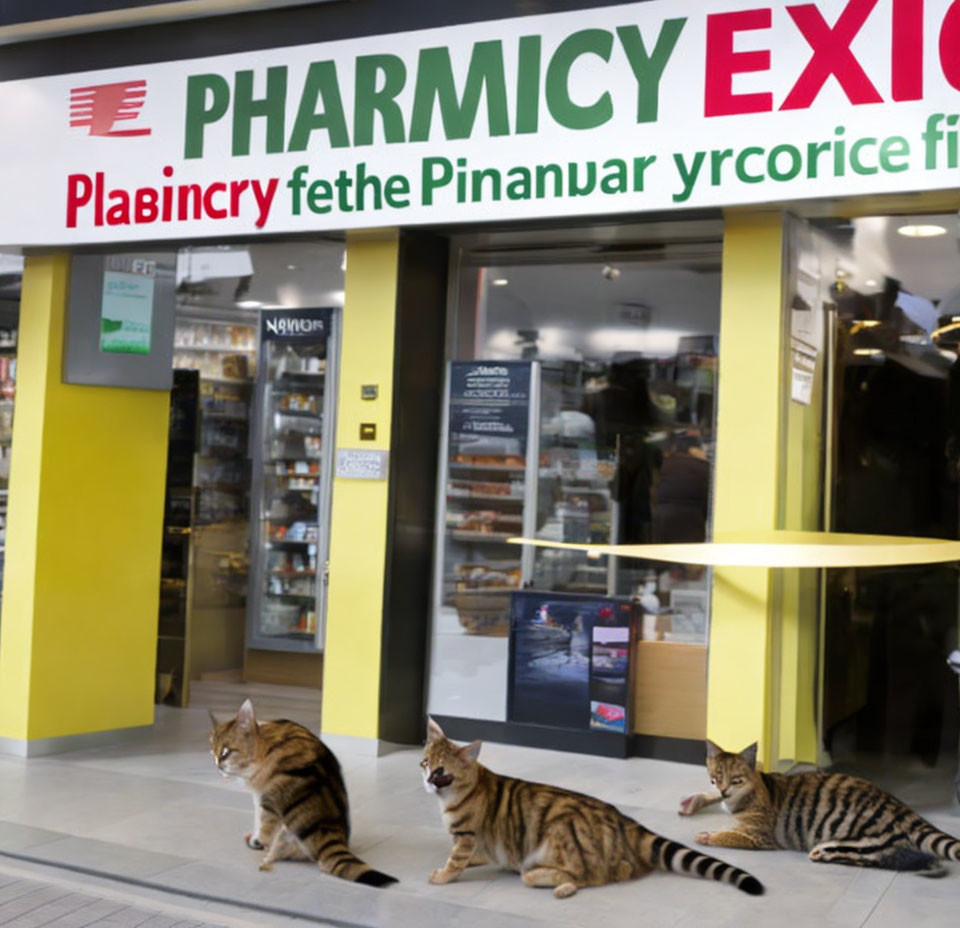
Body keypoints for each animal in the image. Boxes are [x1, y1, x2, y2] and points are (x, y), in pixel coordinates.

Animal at [212, 700, 396, 888]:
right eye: (213, 752)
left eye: (225, 752)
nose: (217, 764)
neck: (267, 741)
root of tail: (330, 828)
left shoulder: (263, 798)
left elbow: (262, 825)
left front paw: (255, 840)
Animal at [424, 716, 760, 900]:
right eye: (425, 763)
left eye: (441, 772)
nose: (427, 780)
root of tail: (625, 820)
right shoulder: (476, 839)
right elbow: (475, 854)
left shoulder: (467, 835)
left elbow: (456, 860)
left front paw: (443, 875)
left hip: (561, 834)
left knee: (591, 875)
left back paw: (554, 882)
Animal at [680, 740, 960, 876]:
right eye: (716, 777)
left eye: (736, 779)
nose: (723, 790)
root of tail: (901, 806)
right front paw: (697, 801)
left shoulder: (758, 835)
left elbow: (728, 835)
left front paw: (708, 835)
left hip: (859, 833)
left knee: (870, 857)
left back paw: (824, 853)